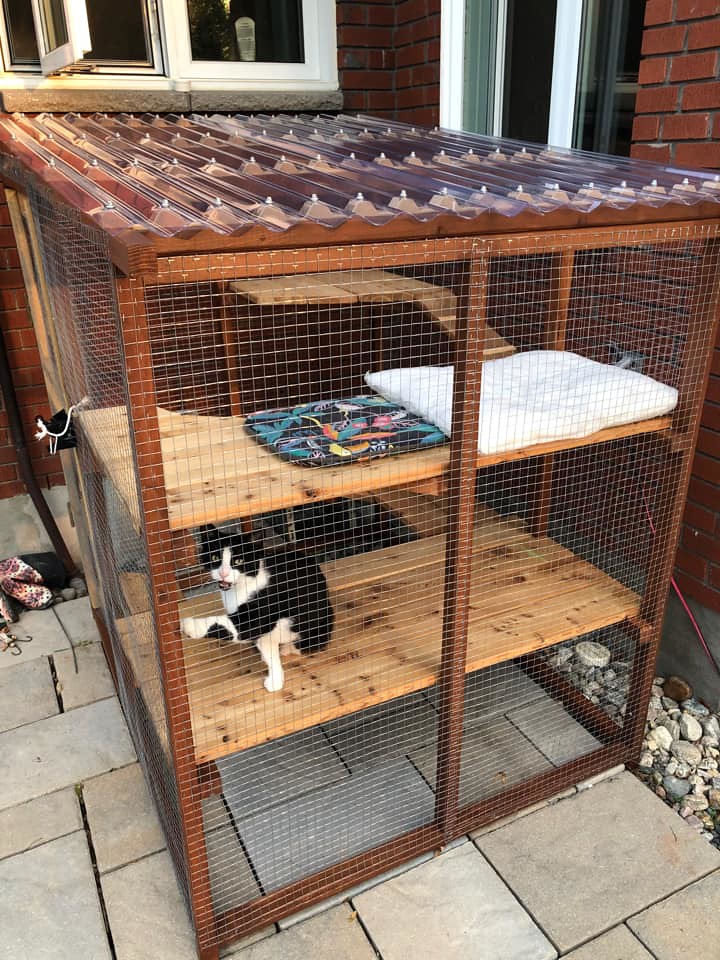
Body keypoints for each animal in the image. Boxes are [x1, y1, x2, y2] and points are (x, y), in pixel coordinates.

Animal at [183, 524, 334, 688]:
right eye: (215, 558)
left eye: (239, 561)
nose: (223, 573)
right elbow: (267, 649)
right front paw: (276, 678)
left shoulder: (262, 611)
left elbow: (232, 625)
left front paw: (191, 626)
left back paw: (289, 647)